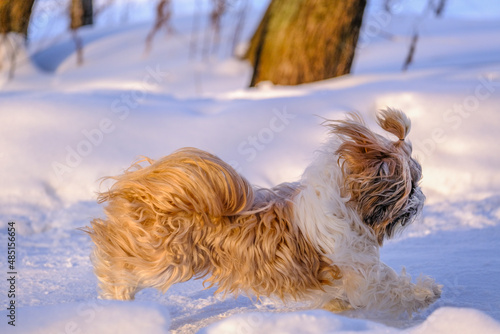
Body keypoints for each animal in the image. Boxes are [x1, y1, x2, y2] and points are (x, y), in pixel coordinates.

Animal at [85, 109, 442, 316]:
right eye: (412, 184)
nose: (421, 198)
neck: (345, 202)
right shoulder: (359, 271)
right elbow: (390, 287)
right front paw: (426, 293)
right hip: (168, 256)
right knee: (114, 254)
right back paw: (116, 295)